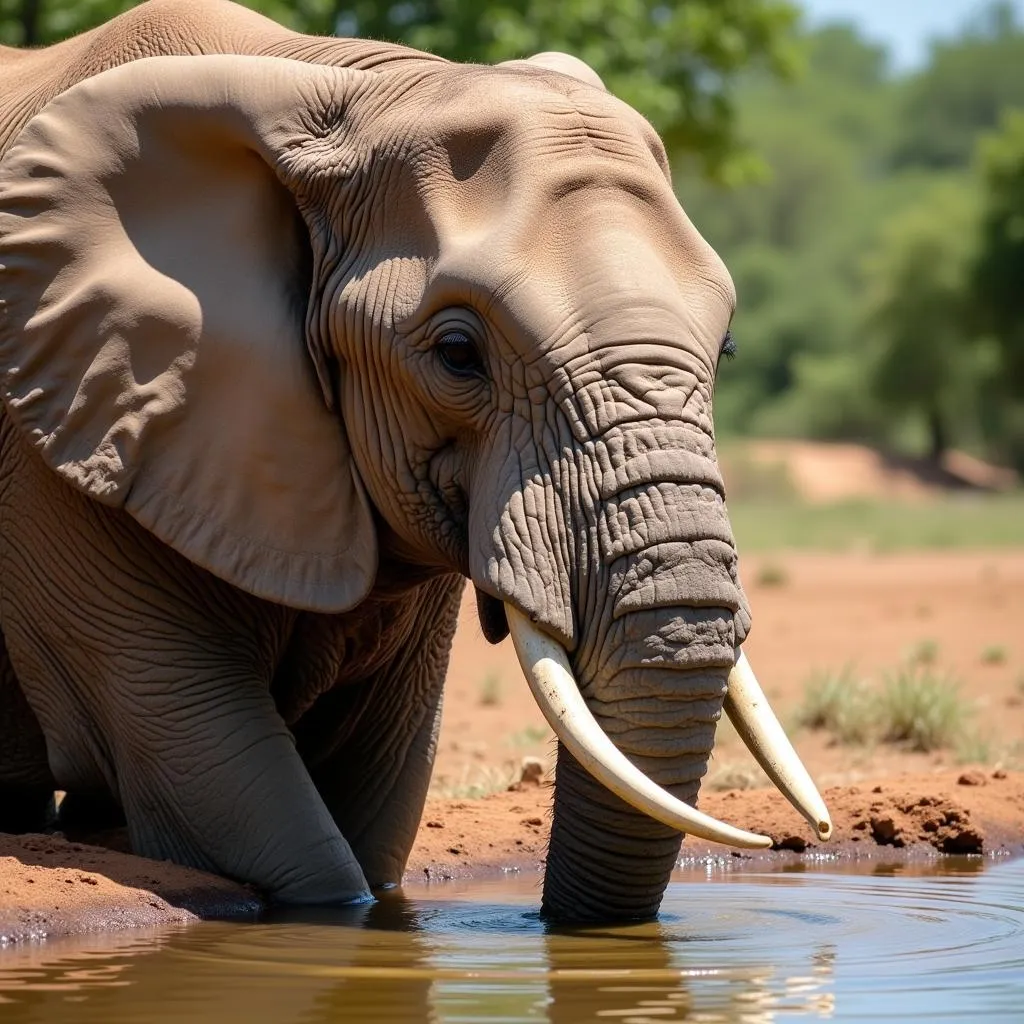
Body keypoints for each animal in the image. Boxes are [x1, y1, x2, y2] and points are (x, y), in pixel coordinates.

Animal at [0, 0, 831, 925]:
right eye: (458, 355)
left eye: (726, 349)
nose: (796, 842)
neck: (333, 84)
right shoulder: (57, 460)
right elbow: (223, 774)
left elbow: (376, 779)